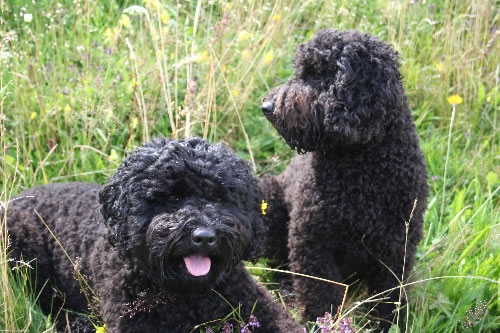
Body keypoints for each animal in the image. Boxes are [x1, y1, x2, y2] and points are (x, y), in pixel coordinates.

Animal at [260, 29, 428, 330]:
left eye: (316, 75)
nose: (266, 106)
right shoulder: (312, 241)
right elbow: (320, 293)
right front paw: (321, 323)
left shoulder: (396, 248)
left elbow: (387, 299)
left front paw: (386, 326)